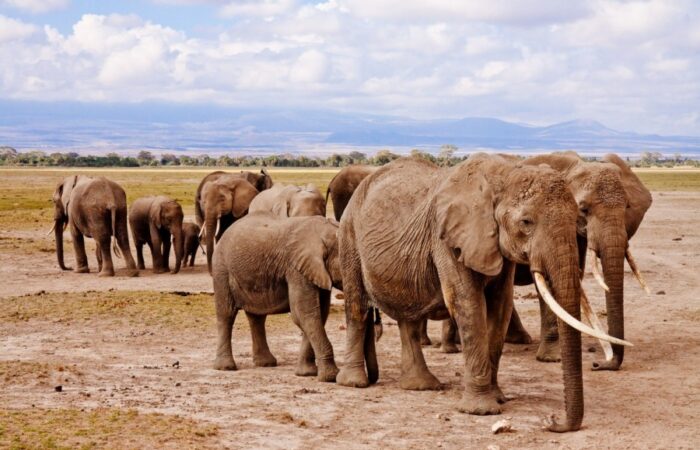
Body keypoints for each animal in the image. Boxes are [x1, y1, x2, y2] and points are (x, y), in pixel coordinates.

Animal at [212, 212, 342, 382]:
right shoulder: (296, 269)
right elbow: (304, 313)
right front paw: (331, 377)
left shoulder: (315, 271)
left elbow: (318, 314)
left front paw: (306, 374)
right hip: (221, 269)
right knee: (226, 314)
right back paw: (225, 367)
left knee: (257, 317)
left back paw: (266, 364)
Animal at [335, 154, 630, 432]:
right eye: (526, 222)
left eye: (577, 216)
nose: (553, 421)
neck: (503, 175)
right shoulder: (448, 239)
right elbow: (468, 304)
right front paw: (481, 410)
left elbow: (500, 307)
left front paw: (498, 397)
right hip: (349, 236)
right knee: (357, 307)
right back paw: (354, 383)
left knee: (408, 318)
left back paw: (420, 386)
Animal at [504, 152, 652, 371]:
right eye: (583, 209)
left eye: (627, 207)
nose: (598, 364)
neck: (575, 165)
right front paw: (553, 358)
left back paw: (519, 339)